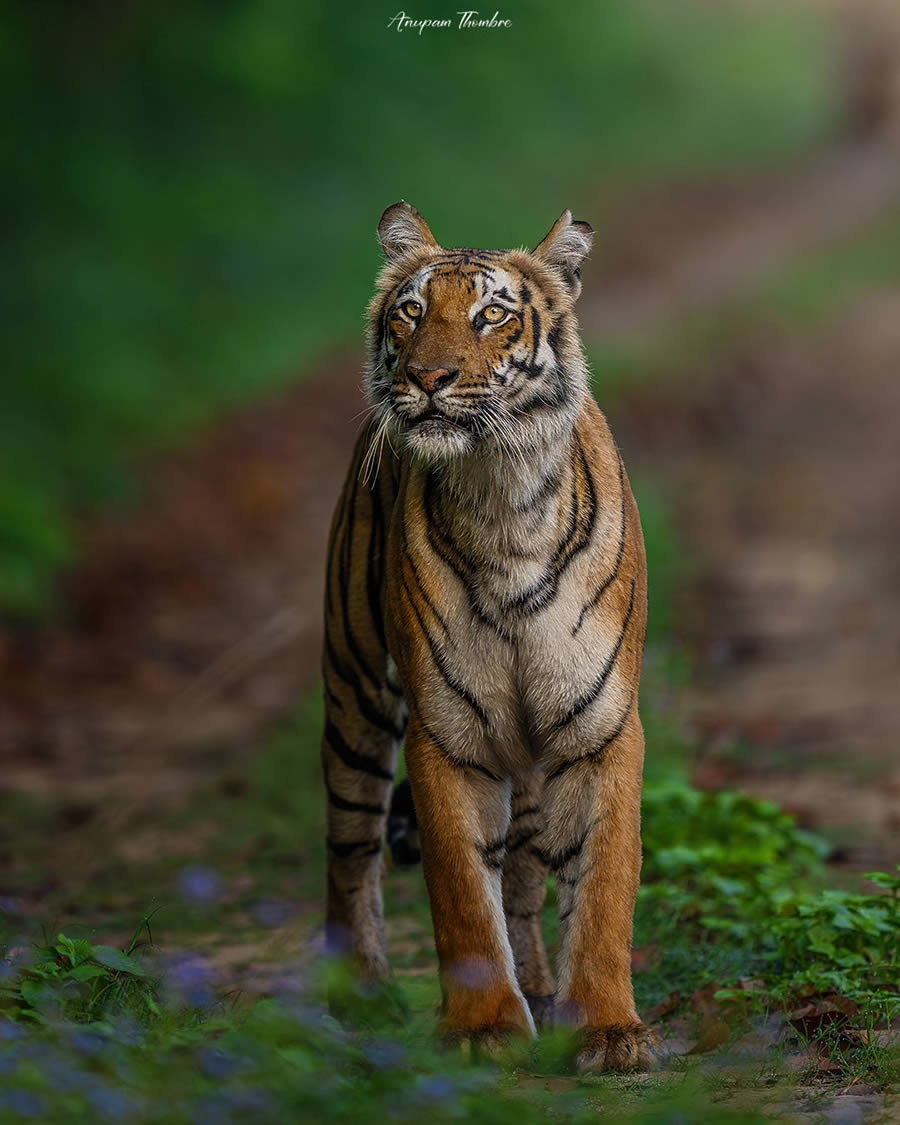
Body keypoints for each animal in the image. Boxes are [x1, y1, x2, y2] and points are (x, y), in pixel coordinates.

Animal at [319, 202, 657, 1071]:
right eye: (411, 313)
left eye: (492, 314)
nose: (427, 378)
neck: (501, 496)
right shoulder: (447, 734)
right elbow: (463, 893)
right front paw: (483, 1029)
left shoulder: (600, 727)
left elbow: (601, 888)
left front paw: (608, 1030)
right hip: (355, 694)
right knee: (350, 849)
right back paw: (358, 996)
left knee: (529, 876)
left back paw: (542, 988)